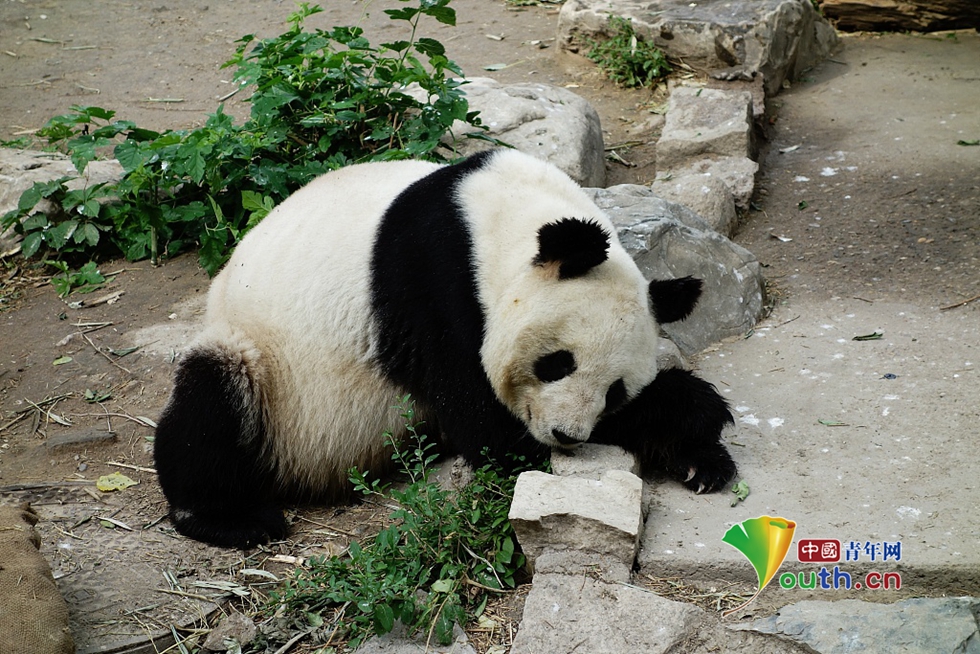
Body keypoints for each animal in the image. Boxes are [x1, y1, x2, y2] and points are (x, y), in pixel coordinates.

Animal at [153, 149, 736, 548]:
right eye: (557, 363)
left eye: (614, 391)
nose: (567, 436)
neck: (497, 215)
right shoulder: (434, 286)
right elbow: (489, 430)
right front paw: (691, 410)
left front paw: (699, 455)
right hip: (266, 364)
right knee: (212, 400)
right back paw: (227, 517)